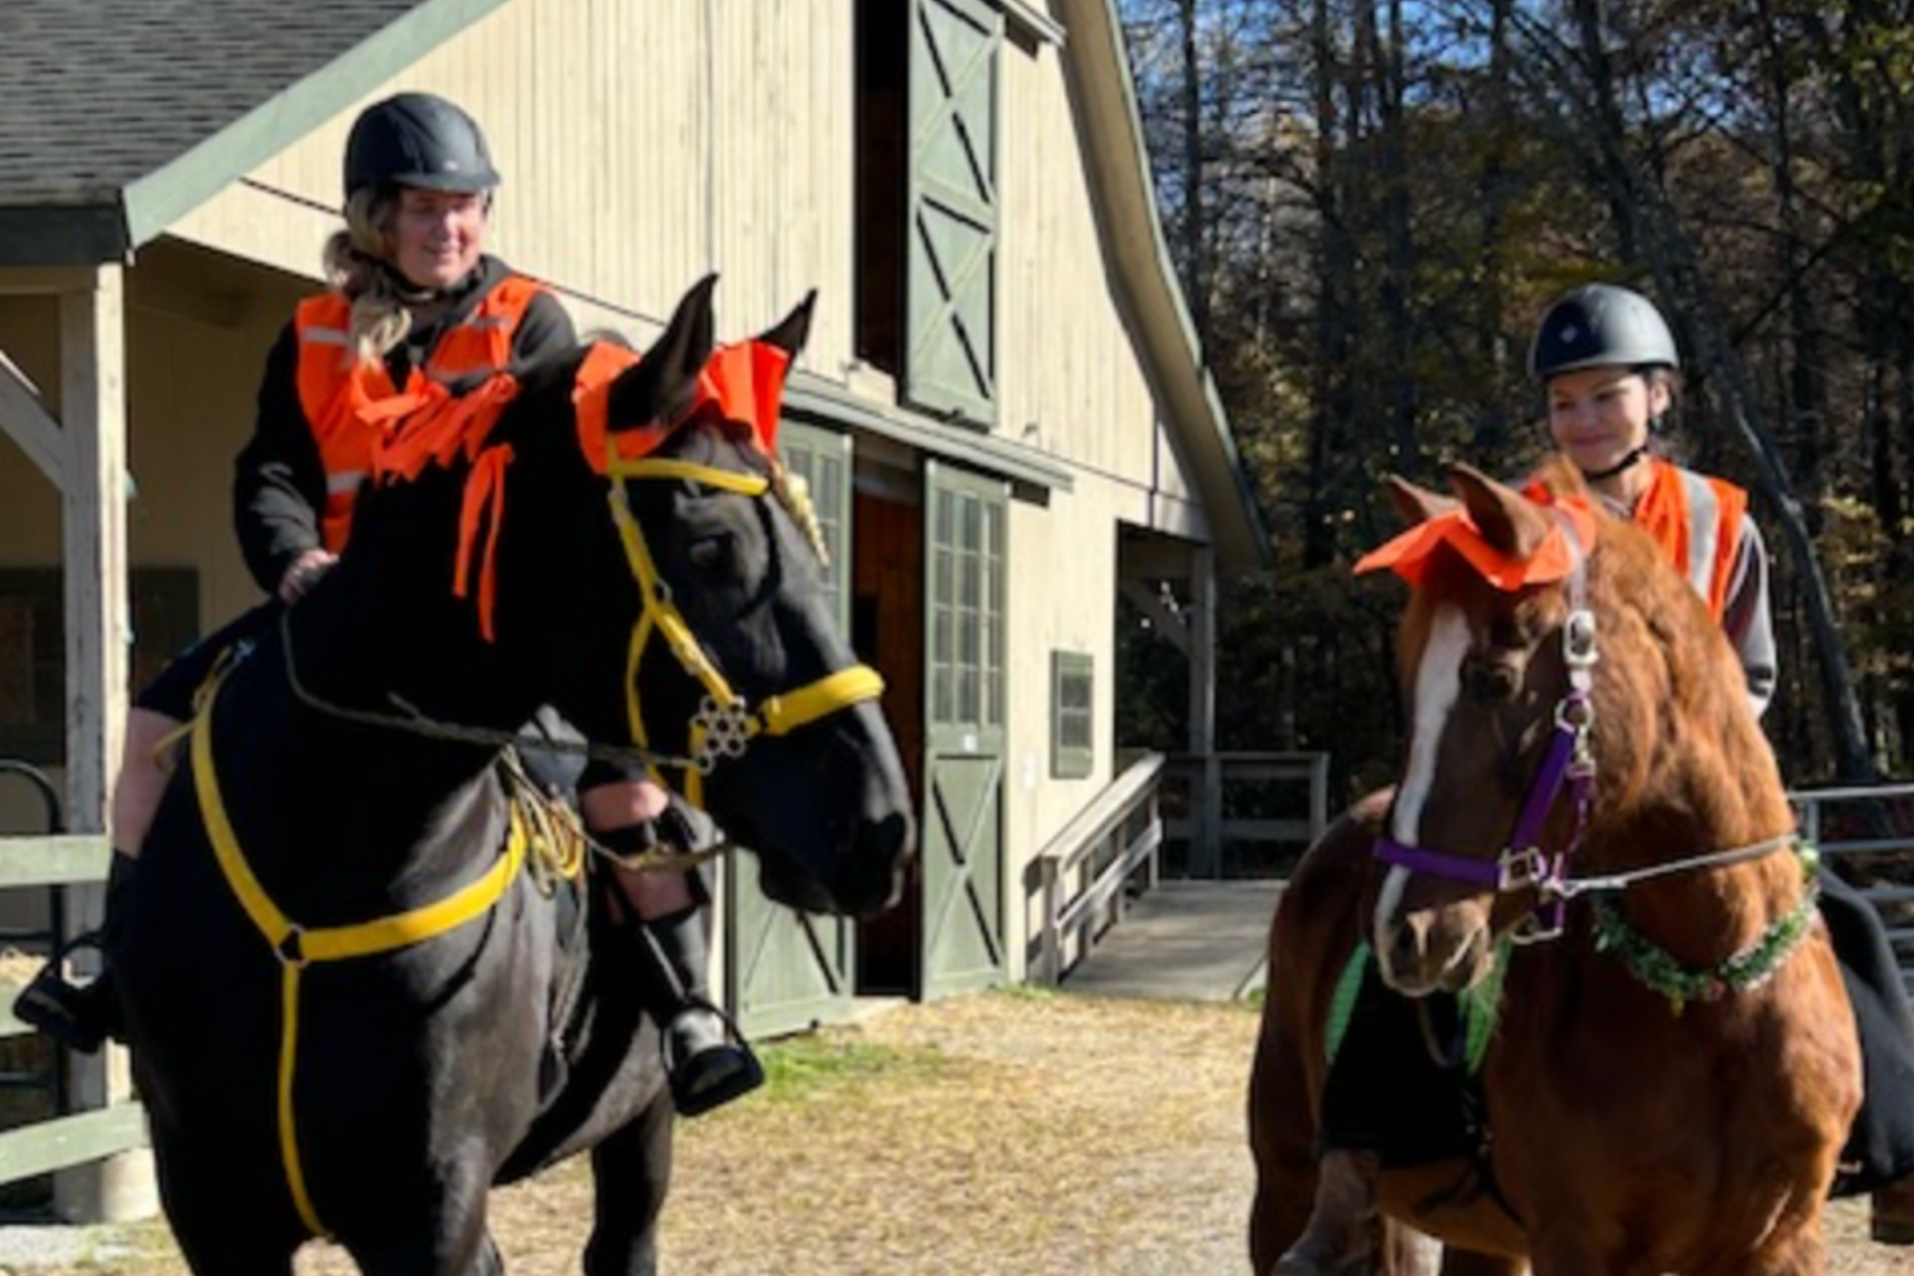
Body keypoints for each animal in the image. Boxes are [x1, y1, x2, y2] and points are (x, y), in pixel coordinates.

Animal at [116, 275, 915, 1276]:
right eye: (710, 546)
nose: (881, 825)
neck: (319, 861)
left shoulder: (435, 1210)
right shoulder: (213, 1210)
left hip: (642, 1128)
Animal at [1248, 460, 1862, 1276]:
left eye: (1493, 679)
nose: (1399, 933)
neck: (1709, 992)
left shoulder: (1782, 1241)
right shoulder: (1577, 1241)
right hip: (1282, 1184)